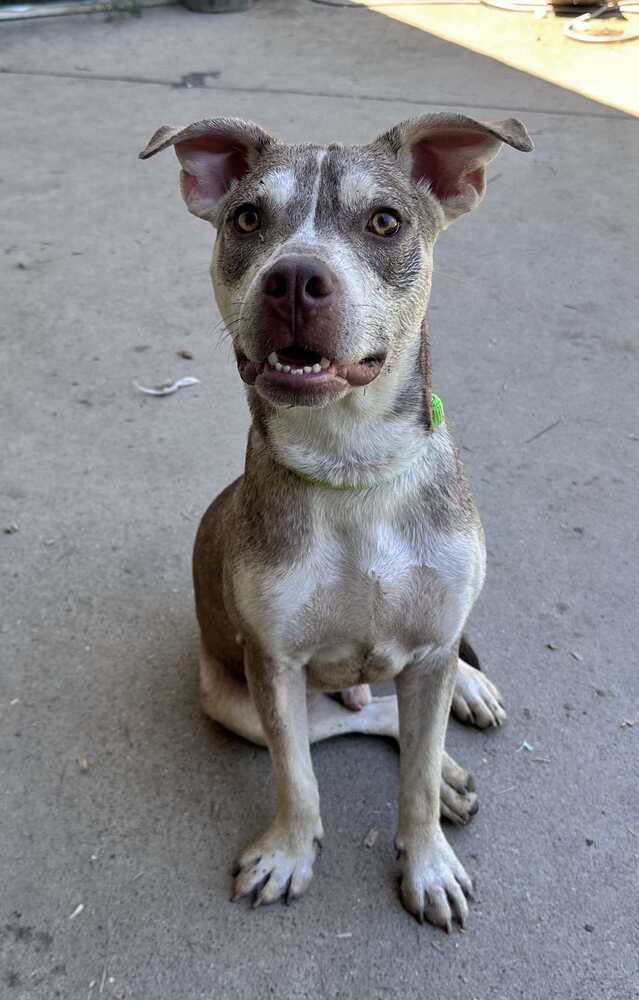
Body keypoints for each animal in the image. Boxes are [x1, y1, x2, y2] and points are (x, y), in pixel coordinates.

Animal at [141, 113, 536, 932]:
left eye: (384, 222)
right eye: (247, 219)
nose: (293, 278)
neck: (351, 467)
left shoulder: (430, 641)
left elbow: (412, 783)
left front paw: (427, 863)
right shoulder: (274, 666)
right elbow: (298, 778)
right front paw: (289, 854)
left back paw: (464, 710)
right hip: (234, 702)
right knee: (364, 718)